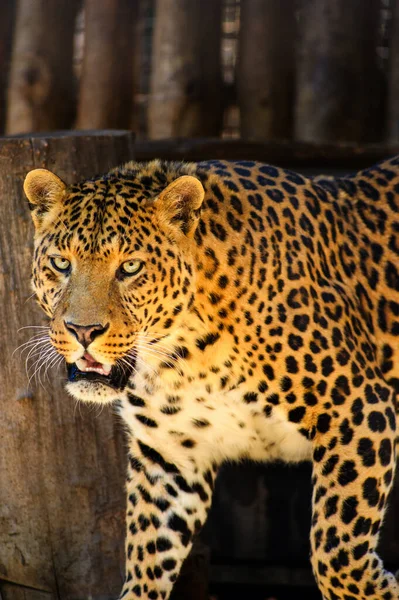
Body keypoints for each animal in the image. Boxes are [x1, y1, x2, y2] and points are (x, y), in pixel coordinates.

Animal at [23, 157, 399, 600]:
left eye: (130, 267)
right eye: (61, 263)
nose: (83, 331)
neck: (185, 357)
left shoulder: (359, 411)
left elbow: (338, 552)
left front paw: (384, 585)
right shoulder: (170, 455)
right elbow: (145, 564)